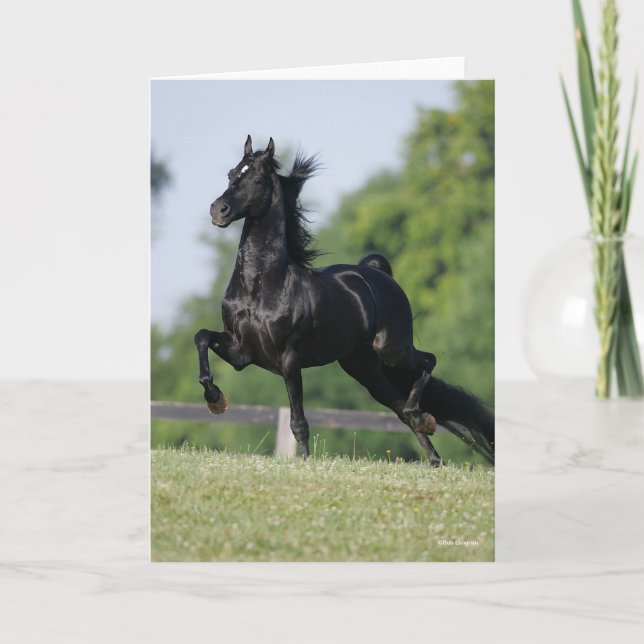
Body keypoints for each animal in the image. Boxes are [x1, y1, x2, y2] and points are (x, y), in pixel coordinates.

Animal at [194, 136, 494, 465]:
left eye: (257, 179)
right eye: (231, 174)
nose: (218, 210)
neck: (259, 285)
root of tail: (380, 276)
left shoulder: (289, 359)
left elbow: (299, 421)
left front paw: (306, 462)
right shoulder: (242, 353)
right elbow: (202, 337)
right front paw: (215, 400)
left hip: (392, 349)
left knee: (428, 363)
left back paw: (423, 419)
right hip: (366, 369)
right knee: (400, 408)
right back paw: (433, 455)